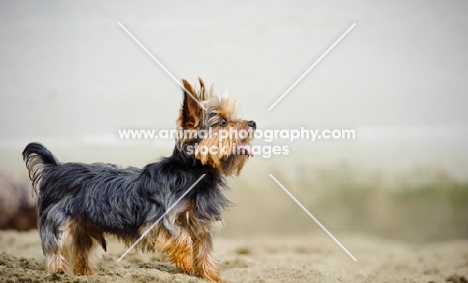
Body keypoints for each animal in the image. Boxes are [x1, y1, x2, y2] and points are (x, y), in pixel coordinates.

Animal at [22, 78, 256, 283]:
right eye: (223, 122)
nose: (253, 122)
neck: (193, 173)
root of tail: (55, 168)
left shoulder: (201, 224)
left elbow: (205, 252)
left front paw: (211, 276)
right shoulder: (160, 219)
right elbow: (182, 238)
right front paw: (186, 263)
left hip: (83, 226)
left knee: (82, 253)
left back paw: (83, 275)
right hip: (58, 222)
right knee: (56, 250)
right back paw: (57, 273)